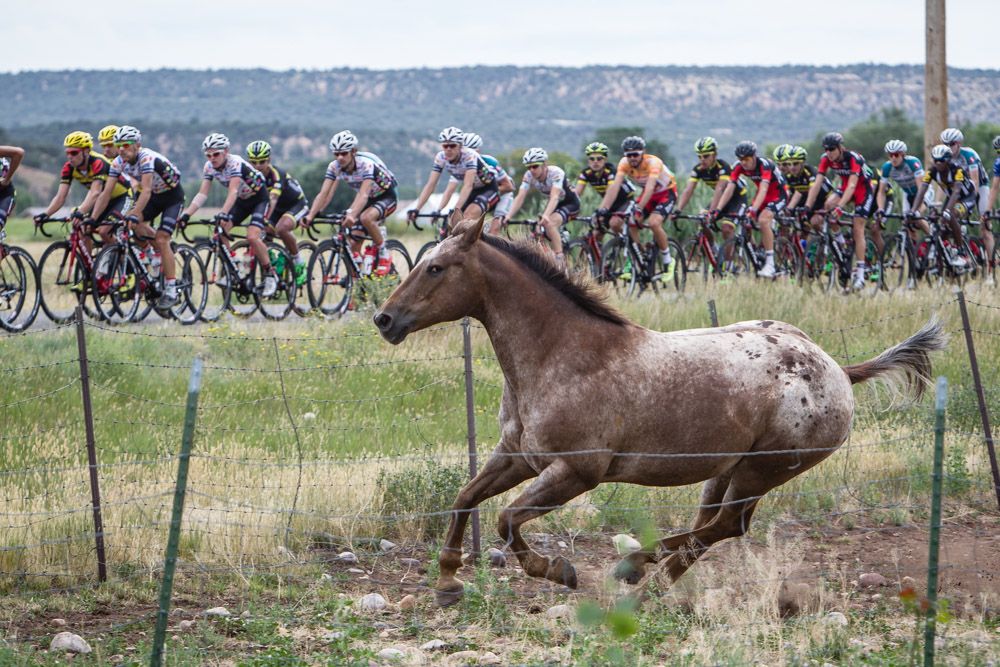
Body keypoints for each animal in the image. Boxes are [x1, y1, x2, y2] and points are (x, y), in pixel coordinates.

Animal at [373, 216, 946, 606]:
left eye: (435, 268)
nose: (384, 319)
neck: (563, 355)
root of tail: (836, 369)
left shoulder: (575, 472)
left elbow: (506, 520)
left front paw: (558, 570)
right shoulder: (516, 456)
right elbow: (465, 499)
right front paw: (448, 581)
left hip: (764, 470)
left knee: (724, 527)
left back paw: (633, 573)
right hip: (728, 470)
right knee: (715, 526)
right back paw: (648, 577)